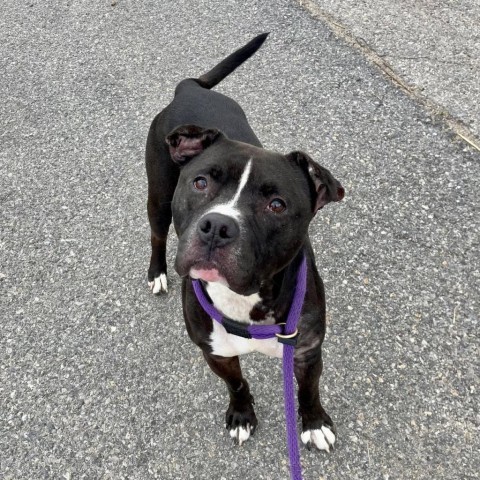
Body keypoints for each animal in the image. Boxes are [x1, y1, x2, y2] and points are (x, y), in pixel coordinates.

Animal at [144, 32, 344, 450]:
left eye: (277, 205)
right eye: (201, 181)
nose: (217, 226)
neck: (245, 298)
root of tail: (190, 88)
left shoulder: (306, 349)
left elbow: (309, 389)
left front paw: (314, 422)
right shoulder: (216, 352)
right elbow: (236, 383)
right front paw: (241, 414)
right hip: (158, 198)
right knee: (156, 235)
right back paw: (157, 273)